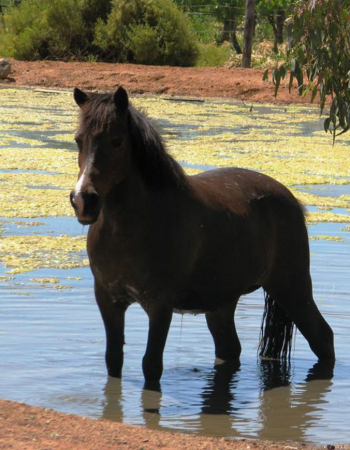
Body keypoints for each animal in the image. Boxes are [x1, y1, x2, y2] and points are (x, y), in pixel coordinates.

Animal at [69, 86, 334, 382]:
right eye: (79, 140)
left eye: (116, 141)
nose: (83, 200)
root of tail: (291, 199)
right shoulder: (108, 301)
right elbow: (113, 360)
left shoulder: (160, 305)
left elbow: (151, 364)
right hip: (223, 303)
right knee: (229, 349)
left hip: (293, 290)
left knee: (323, 337)